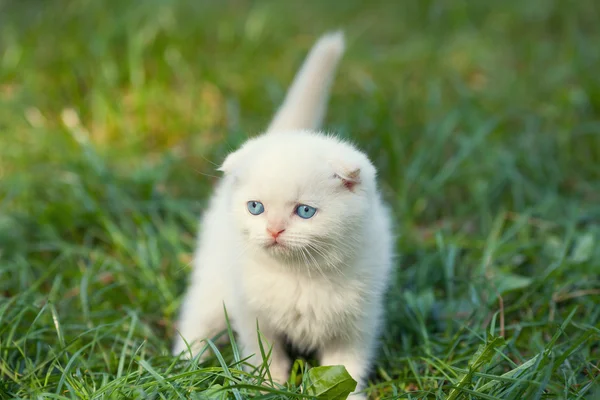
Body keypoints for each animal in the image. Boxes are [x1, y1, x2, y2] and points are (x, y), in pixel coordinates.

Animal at [172, 31, 394, 396]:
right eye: (256, 207)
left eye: (304, 211)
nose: (274, 230)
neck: (299, 276)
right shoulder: (254, 316)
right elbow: (265, 356)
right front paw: (267, 387)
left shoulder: (357, 323)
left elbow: (347, 367)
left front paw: (351, 396)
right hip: (215, 276)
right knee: (199, 315)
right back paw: (184, 364)